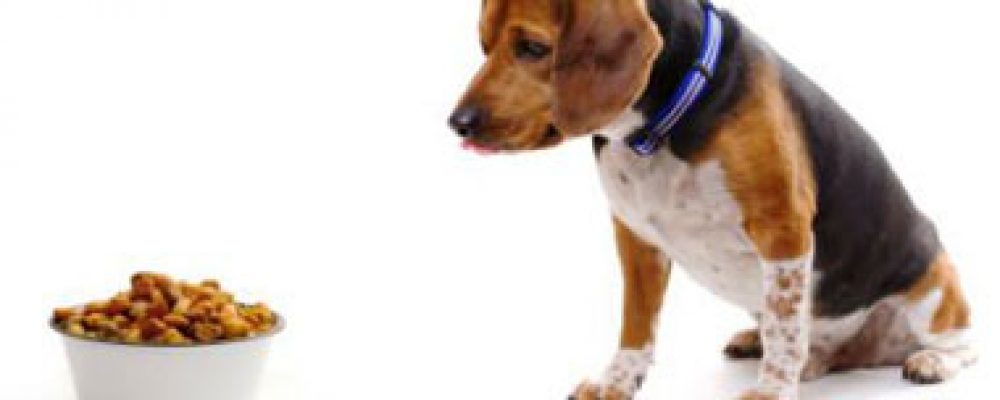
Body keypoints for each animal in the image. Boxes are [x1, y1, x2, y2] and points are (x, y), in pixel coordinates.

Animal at [448, 1, 975, 399]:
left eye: (533, 48)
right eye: (484, 45)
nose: (458, 123)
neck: (663, 128)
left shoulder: (782, 229)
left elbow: (786, 328)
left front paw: (771, 392)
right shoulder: (636, 236)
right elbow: (635, 324)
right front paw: (616, 383)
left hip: (932, 290)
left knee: (965, 344)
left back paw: (931, 361)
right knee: (820, 350)